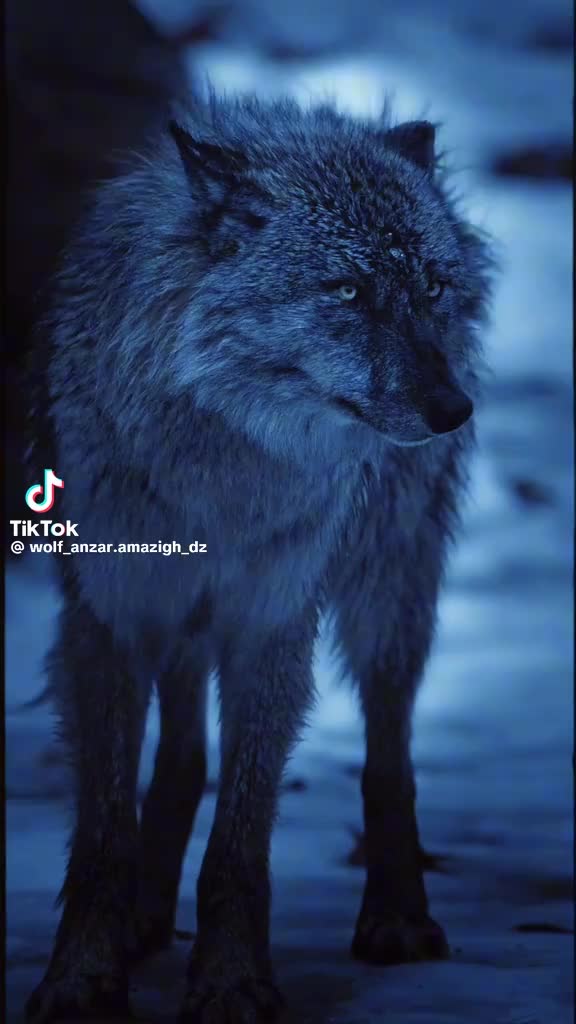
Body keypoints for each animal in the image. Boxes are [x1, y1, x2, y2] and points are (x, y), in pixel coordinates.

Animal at [25, 93, 493, 1022]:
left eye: (429, 287)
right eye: (347, 290)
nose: (452, 408)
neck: (221, 465)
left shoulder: (272, 625)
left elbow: (239, 846)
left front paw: (232, 982)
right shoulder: (108, 622)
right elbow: (102, 835)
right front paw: (84, 974)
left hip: (389, 588)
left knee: (389, 752)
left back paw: (397, 917)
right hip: (182, 619)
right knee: (181, 758)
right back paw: (144, 919)